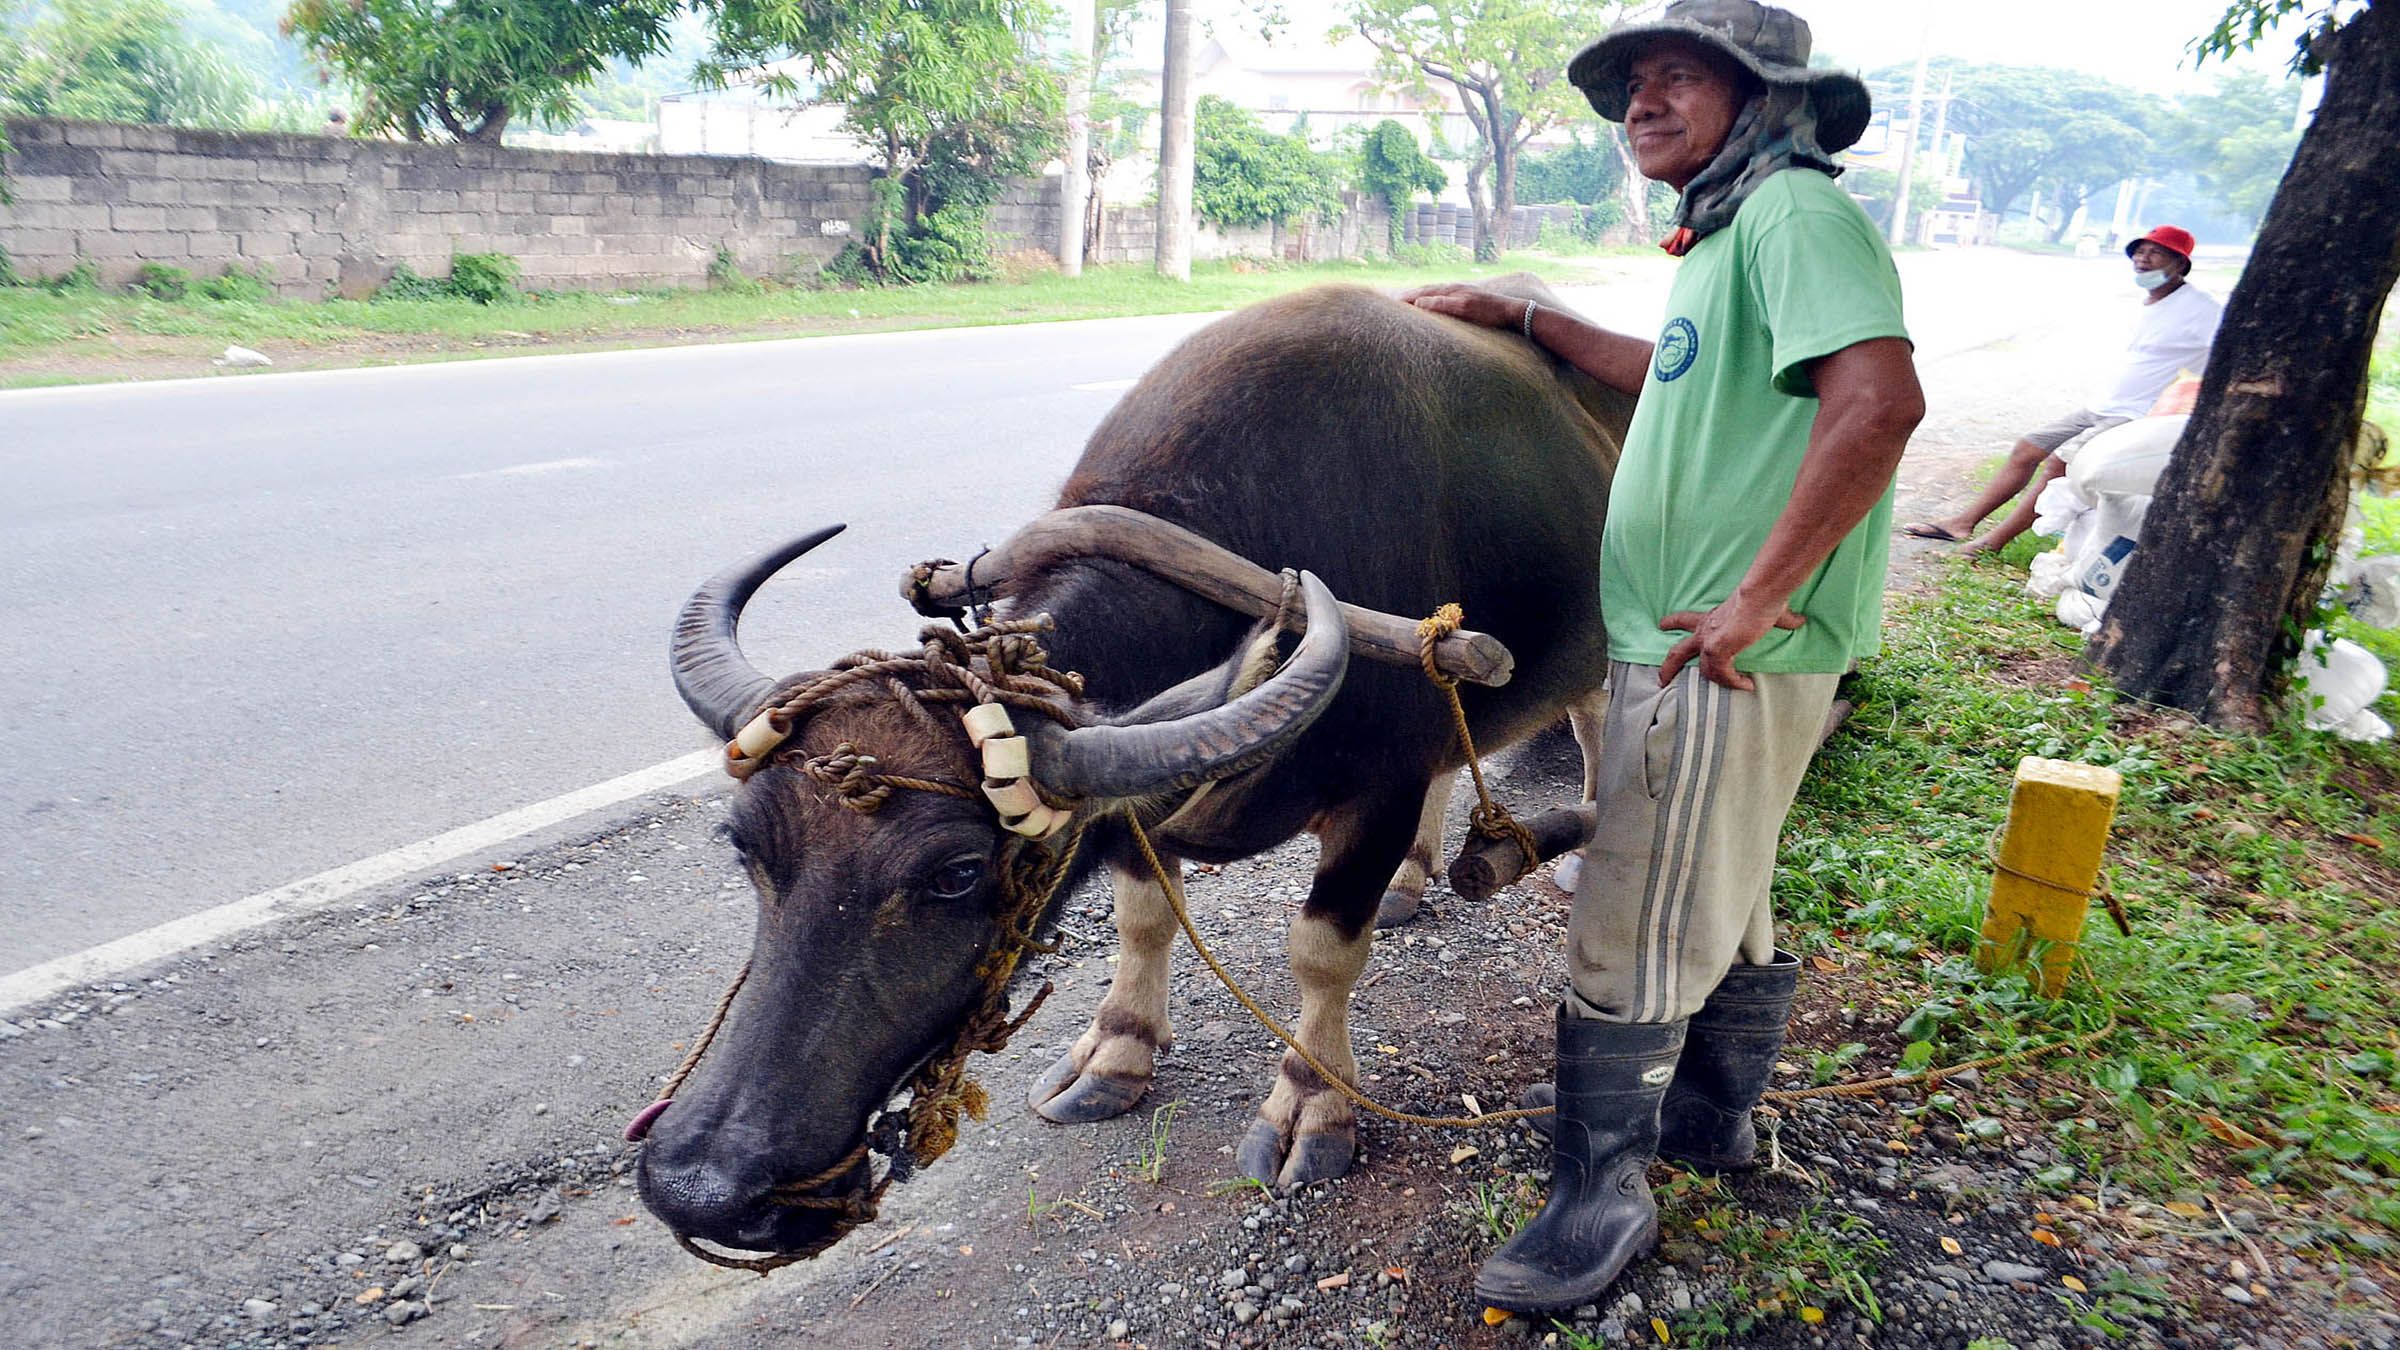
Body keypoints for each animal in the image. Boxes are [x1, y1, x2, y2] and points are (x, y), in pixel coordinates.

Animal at [638, 276, 1632, 1258]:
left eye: (957, 873)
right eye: (744, 846)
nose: (700, 1187)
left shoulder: (1373, 797)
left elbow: (1320, 954)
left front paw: (1312, 1105)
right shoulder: (1134, 810)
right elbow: (1144, 919)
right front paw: (1113, 1052)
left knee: (1593, 726)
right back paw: (1413, 879)